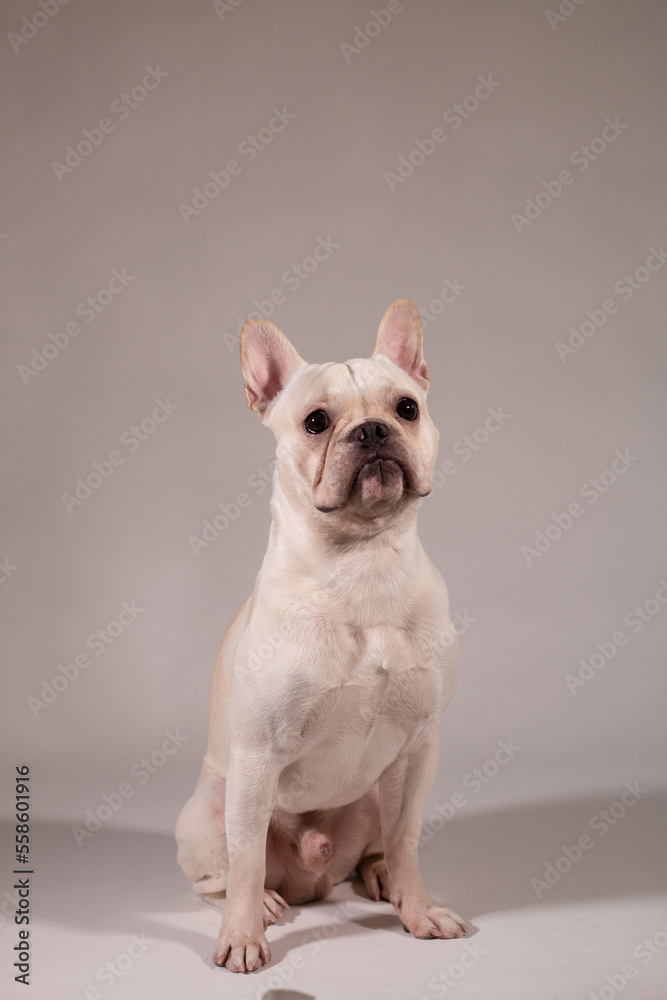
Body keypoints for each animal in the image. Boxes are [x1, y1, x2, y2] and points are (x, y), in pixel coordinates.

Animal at [177, 296, 470, 968]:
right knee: (225, 872)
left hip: (376, 791)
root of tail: (311, 878)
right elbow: (245, 858)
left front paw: (418, 910)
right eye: (316, 421)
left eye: (406, 408)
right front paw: (242, 936)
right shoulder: (256, 758)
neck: (363, 562)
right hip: (206, 810)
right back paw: (261, 902)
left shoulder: (418, 749)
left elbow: (409, 839)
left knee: (380, 845)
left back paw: (381, 875)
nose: (372, 430)